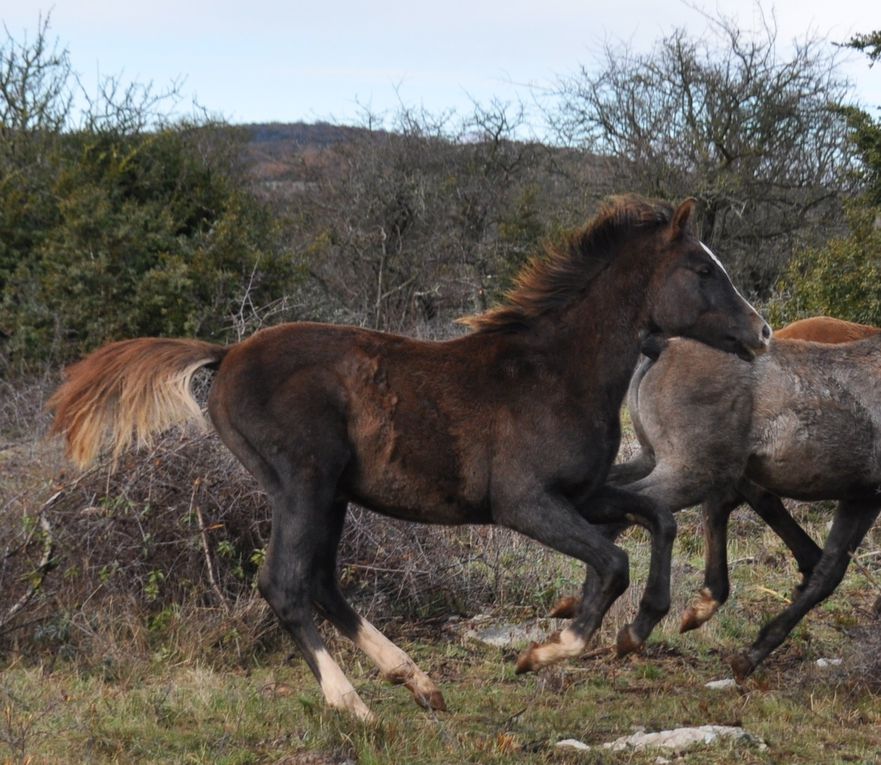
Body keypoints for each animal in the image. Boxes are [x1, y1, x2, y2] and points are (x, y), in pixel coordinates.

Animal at [46, 195, 768, 716]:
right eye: (702, 270)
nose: (760, 331)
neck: (556, 369)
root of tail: (224, 357)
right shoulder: (524, 503)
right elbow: (613, 560)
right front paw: (547, 650)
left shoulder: (583, 494)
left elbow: (656, 520)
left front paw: (646, 625)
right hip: (301, 483)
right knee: (285, 584)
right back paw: (352, 703)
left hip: (333, 494)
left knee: (323, 582)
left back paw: (416, 680)